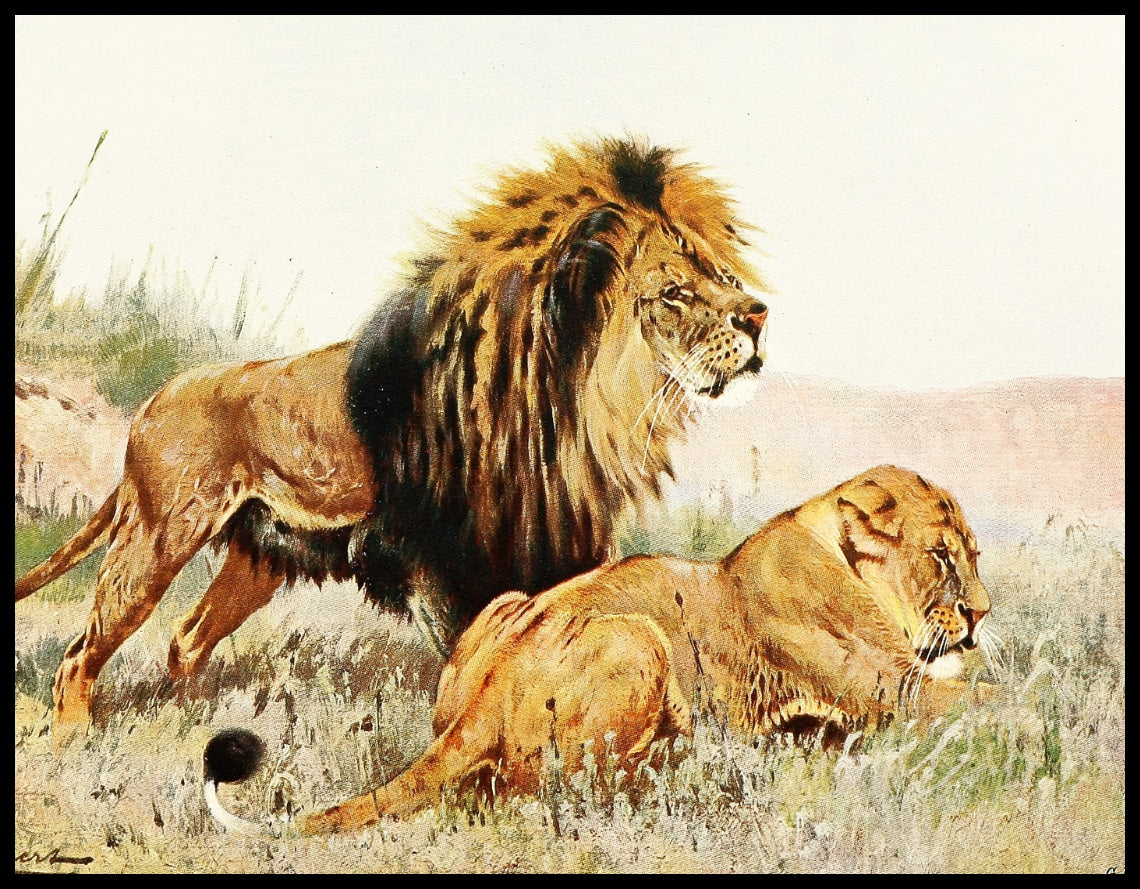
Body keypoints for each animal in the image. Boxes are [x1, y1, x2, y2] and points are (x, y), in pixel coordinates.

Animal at [16, 137, 770, 731]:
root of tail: (154, 399)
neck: (568, 404)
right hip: (156, 539)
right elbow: (474, 653)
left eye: (717, 274)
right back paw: (77, 739)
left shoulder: (564, 543)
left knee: (185, 637)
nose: (758, 316)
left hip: (254, 561)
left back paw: (201, 720)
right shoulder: (442, 558)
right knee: (80, 658)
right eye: (674, 292)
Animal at [203, 465, 999, 836]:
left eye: (975, 553)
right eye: (942, 555)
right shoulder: (891, 691)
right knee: (557, 789)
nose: (982, 614)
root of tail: (491, 689)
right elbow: (987, 698)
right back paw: (696, 771)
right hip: (636, 636)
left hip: (505, 607)